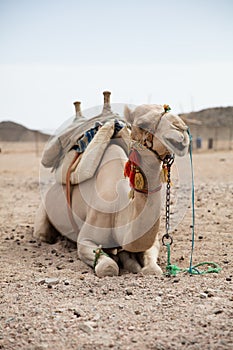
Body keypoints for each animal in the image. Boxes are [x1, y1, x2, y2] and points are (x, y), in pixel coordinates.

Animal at [34, 92, 189, 276]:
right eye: (142, 124)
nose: (181, 129)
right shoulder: (86, 238)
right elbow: (108, 267)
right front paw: (118, 261)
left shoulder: (151, 242)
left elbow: (152, 268)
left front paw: (132, 262)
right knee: (42, 234)